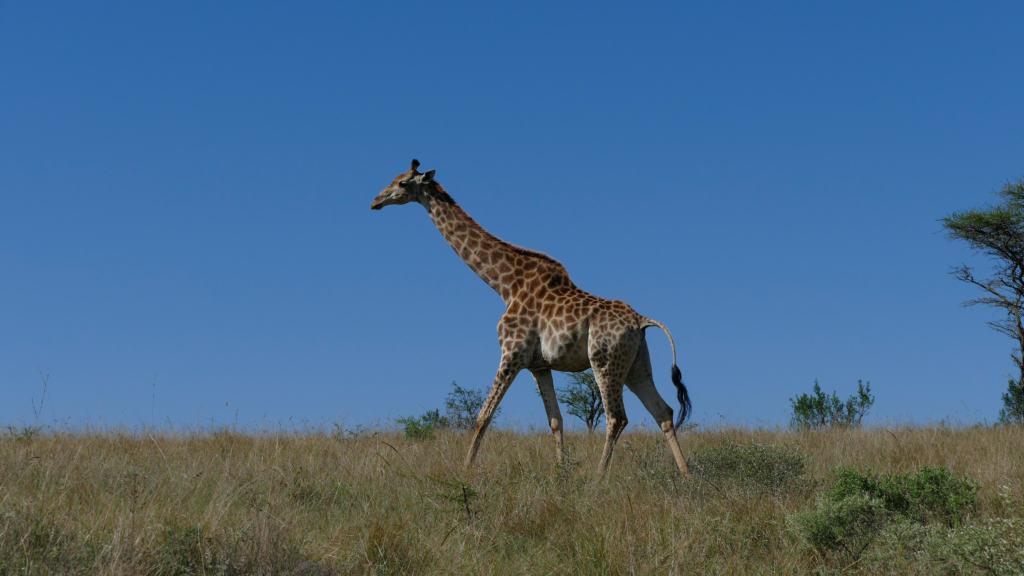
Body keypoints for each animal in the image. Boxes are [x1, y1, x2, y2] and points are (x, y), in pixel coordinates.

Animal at [372, 157, 692, 471]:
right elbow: (555, 420)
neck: (505, 285)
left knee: (617, 417)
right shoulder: (539, 365)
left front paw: (465, 472)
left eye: (403, 183)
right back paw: (686, 474)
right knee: (663, 411)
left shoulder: (512, 353)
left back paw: (598, 477)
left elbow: (483, 416)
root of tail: (641, 321)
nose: (375, 201)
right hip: (636, 364)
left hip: (604, 360)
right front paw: (561, 472)